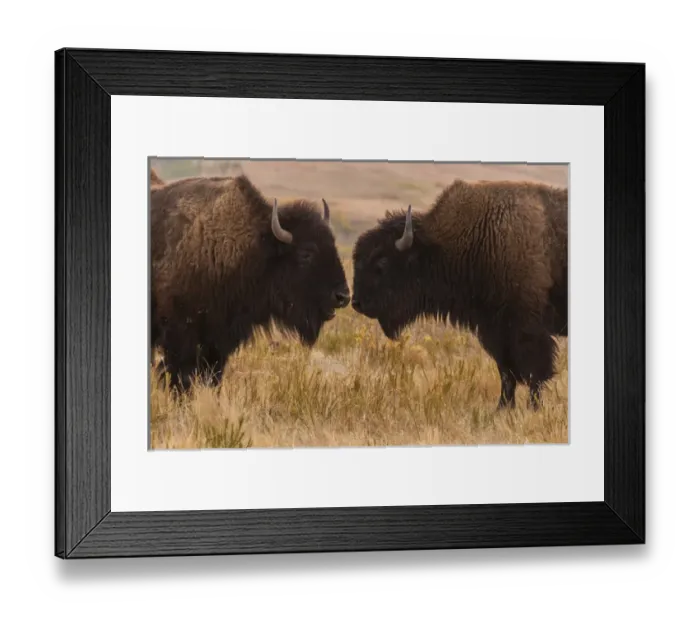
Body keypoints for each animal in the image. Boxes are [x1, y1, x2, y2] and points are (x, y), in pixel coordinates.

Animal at [150, 172, 350, 391]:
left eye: (333, 245)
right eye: (306, 253)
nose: (343, 296)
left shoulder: (219, 342)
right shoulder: (181, 336)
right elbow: (180, 375)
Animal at [351, 179, 568, 410]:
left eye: (381, 264)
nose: (357, 303)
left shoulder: (527, 329)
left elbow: (534, 372)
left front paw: (533, 408)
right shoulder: (494, 331)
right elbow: (506, 372)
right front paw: (502, 408)